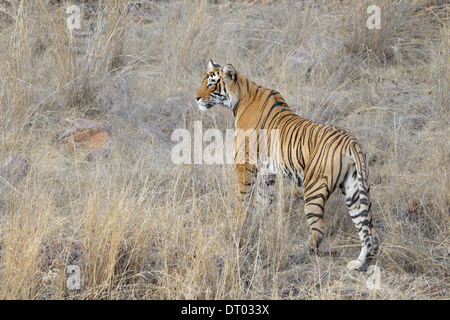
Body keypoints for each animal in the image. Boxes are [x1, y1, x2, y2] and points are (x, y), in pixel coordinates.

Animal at [193, 59, 376, 270]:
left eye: (211, 84)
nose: (196, 98)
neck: (240, 95)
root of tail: (352, 142)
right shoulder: (267, 171)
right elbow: (263, 202)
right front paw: (260, 227)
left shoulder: (244, 163)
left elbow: (242, 199)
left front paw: (238, 226)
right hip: (354, 190)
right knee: (368, 230)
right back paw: (358, 264)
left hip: (314, 188)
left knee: (318, 230)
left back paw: (301, 253)